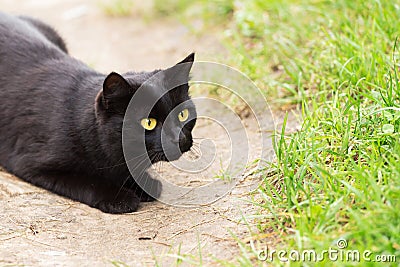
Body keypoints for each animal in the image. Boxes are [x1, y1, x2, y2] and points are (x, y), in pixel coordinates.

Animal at [0, 12, 195, 215]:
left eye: (182, 114)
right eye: (149, 122)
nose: (180, 138)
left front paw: (143, 184)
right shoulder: (31, 164)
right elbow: (87, 181)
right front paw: (119, 197)